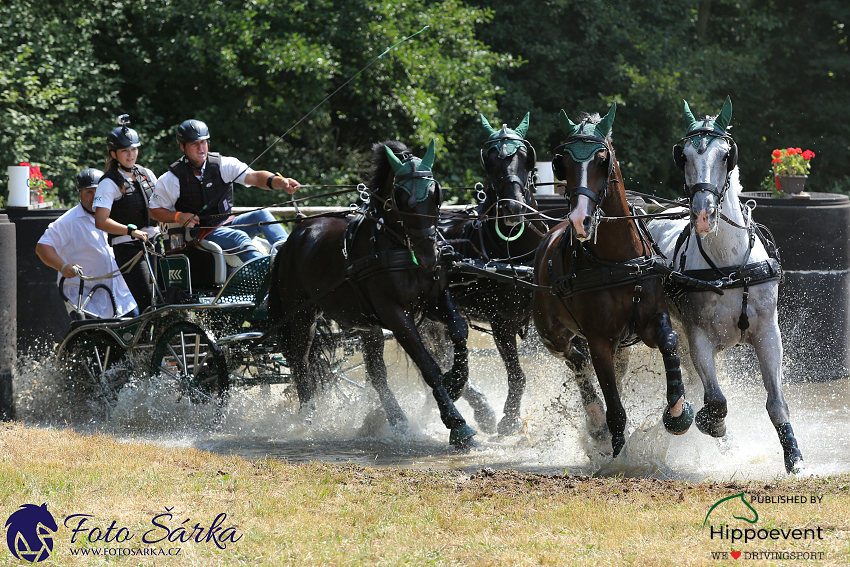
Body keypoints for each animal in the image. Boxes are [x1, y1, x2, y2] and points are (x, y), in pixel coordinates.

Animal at [270, 139, 476, 448]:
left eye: (435, 194)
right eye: (402, 198)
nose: (429, 257)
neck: (399, 245)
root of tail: (294, 236)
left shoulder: (434, 301)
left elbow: (460, 332)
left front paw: (456, 382)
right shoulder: (395, 315)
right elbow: (428, 366)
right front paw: (457, 424)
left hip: (366, 326)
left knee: (376, 373)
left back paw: (397, 419)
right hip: (303, 315)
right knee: (300, 361)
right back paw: (309, 415)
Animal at [532, 104, 692, 454]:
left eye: (601, 159)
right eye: (563, 163)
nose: (580, 219)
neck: (618, 261)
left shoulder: (648, 321)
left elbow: (668, 341)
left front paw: (677, 410)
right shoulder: (599, 340)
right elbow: (615, 408)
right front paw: (616, 450)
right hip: (552, 335)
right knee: (576, 360)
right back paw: (594, 420)